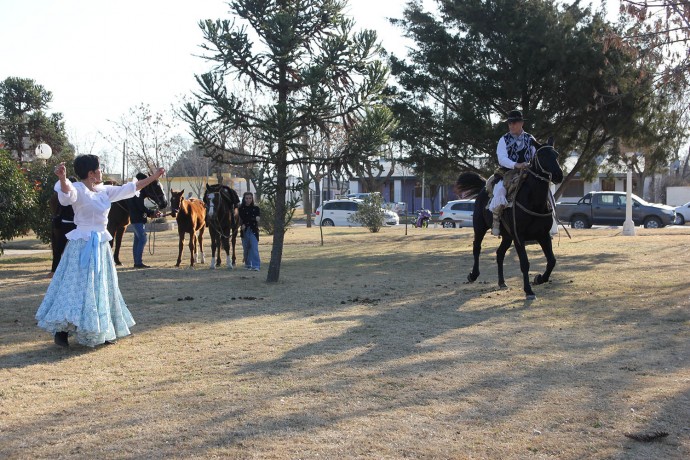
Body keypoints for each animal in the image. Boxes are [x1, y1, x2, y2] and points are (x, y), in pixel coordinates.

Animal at [454, 145, 560, 302]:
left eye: (556, 155)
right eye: (542, 156)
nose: (559, 175)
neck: (534, 203)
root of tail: (483, 188)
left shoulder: (543, 235)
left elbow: (552, 260)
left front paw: (539, 279)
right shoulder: (519, 236)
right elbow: (524, 263)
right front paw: (528, 291)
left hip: (507, 236)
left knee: (499, 253)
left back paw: (502, 282)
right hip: (479, 227)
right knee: (476, 248)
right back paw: (473, 275)